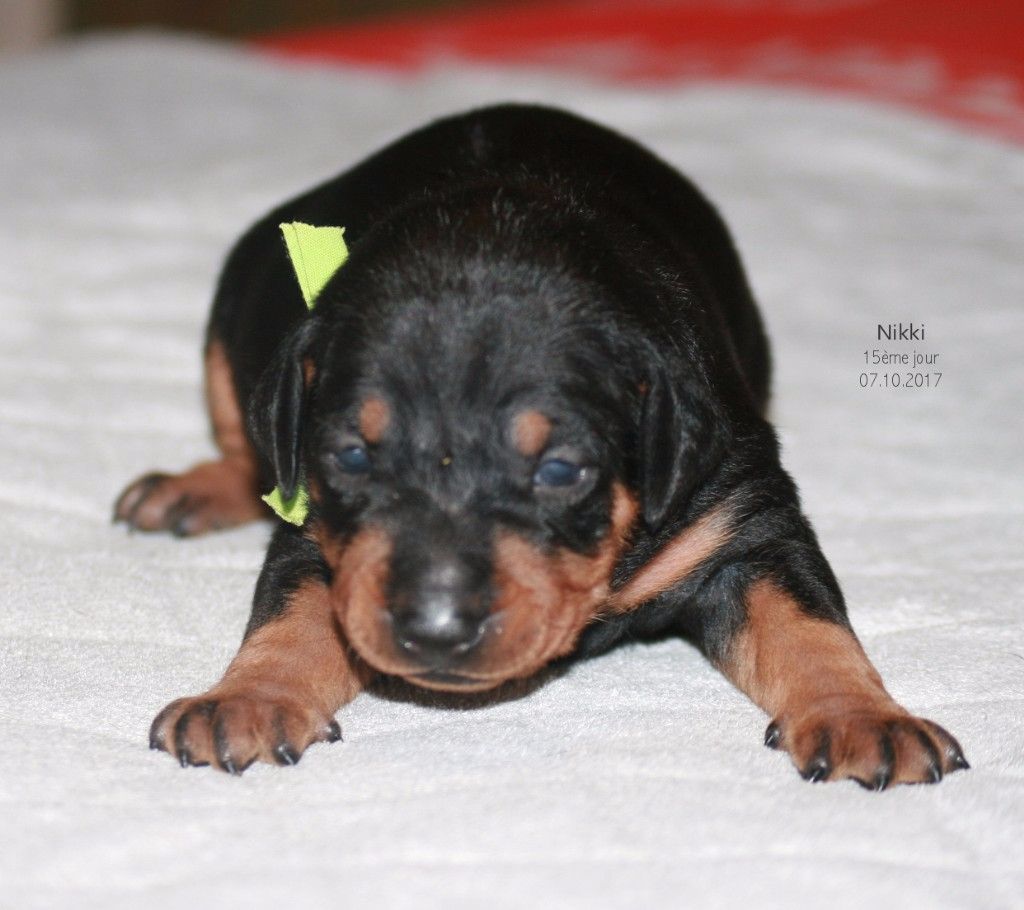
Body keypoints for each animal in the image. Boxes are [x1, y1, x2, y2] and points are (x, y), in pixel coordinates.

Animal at [115, 104, 967, 786]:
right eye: (352, 457)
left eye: (560, 470)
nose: (436, 629)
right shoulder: (316, 529)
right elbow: (291, 616)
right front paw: (244, 700)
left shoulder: (744, 517)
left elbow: (809, 624)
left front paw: (865, 718)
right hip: (238, 299)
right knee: (242, 440)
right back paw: (193, 488)